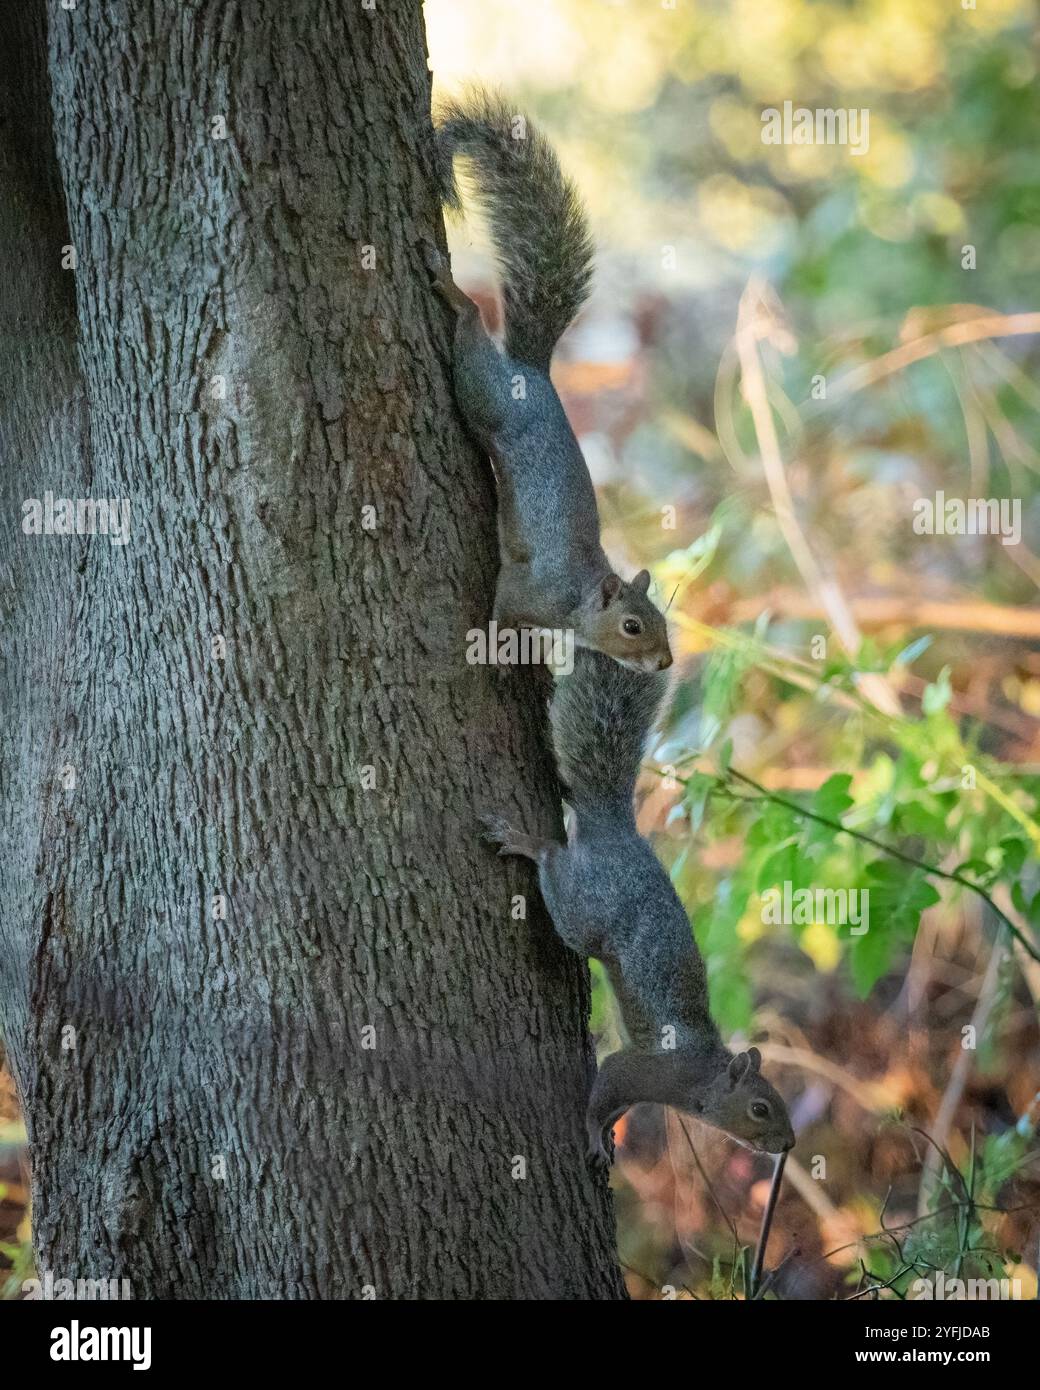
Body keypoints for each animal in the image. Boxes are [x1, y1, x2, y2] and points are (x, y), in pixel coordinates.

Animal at [428, 89, 672, 675]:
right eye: (632, 626)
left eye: (663, 620)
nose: (665, 663)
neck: (578, 602)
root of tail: (533, 372)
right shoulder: (527, 590)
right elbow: (500, 608)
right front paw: (495, 649)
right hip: (485, 391)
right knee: (472, 327)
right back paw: (454, 292)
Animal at [483, 647, 795, 1171]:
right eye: (760, 1108)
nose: (789, 1144)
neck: (703, 1077)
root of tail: (616, 830)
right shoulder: (645, 1070)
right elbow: (606, 1086)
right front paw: (594, 1138)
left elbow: (616, 1108)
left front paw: (609, 1133)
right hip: (585, 910)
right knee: (553, 860)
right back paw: (524, 842)